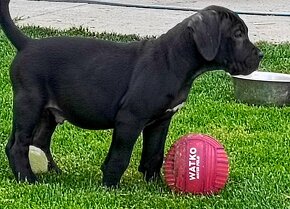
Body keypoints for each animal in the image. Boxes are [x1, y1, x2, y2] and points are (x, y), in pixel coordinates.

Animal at [0, 0, 262, 186]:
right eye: (238, 34)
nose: (260, 55)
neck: (175, 60)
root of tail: (27, 44)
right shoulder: (129, 119)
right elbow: (120, 156)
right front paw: (110, 186)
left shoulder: (160, 121)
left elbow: (154, 154)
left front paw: (155, 185)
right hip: (29, 104)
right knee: (18, 144)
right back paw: (28, 180)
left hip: (49, 113)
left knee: (39, 142)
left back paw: (54, 174)